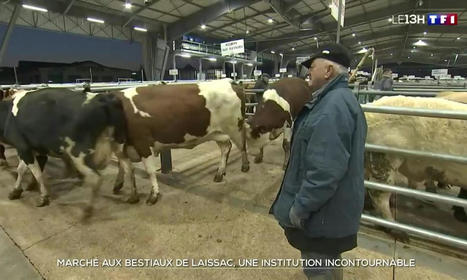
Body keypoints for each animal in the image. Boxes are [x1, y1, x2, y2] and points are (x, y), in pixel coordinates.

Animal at [0, 88, 127, 217]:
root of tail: (102, 98)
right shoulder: (31, 149)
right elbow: (21, 169)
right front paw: (16, 191)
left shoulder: (23, 147)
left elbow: (37, 173)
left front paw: (43, 197)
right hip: (118, 143)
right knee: (126, 164)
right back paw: (127, 193)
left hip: (78, 153)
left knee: (96, 178)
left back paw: (87, 210)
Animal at [110, 80, 270, 205]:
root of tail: (230, 82)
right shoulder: (121, 148)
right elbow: (125, 168)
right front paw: (123, 188)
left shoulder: (142, 143)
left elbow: (149, 171)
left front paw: (153, 195)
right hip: (216, 133)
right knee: (226, 147)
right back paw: (220, 173)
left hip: (234, 127)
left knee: (242, 145)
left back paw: (245, 166)